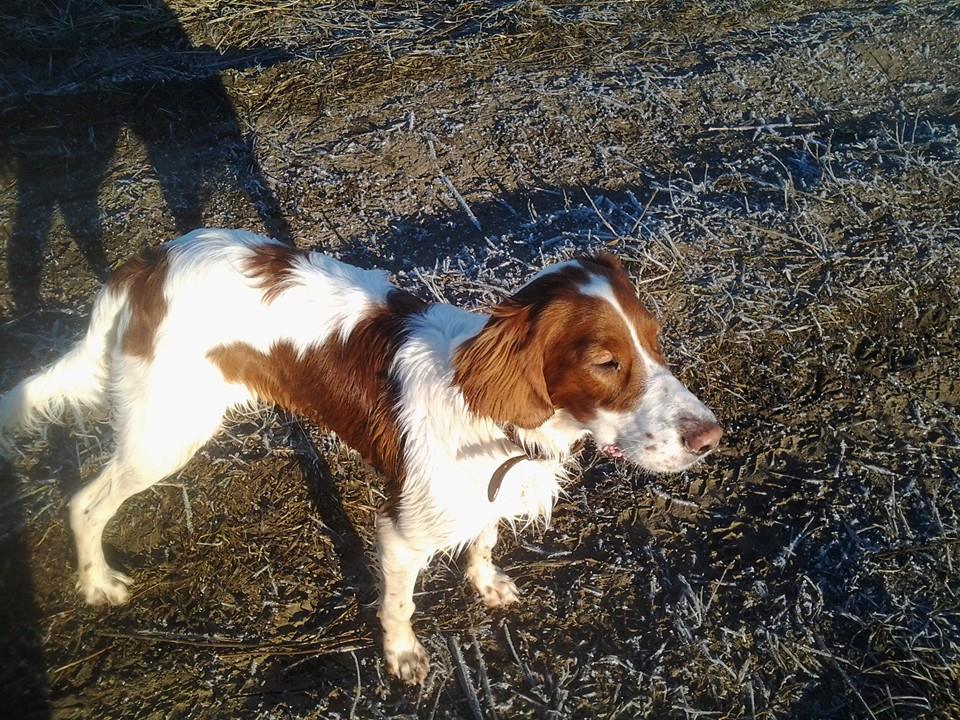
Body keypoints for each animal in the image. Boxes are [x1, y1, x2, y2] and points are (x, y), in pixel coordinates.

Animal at [0, 228, 722, 684]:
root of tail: (148, 265)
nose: (710, 436)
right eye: (606, 362)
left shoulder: (485, 495)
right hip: (165, 436)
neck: (497, 420)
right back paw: (97, 582)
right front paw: (402, 657)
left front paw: (486, 583)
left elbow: (483, 539)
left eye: (656, 341)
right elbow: (399, 604)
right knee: (84, 502)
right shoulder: (400, 534)